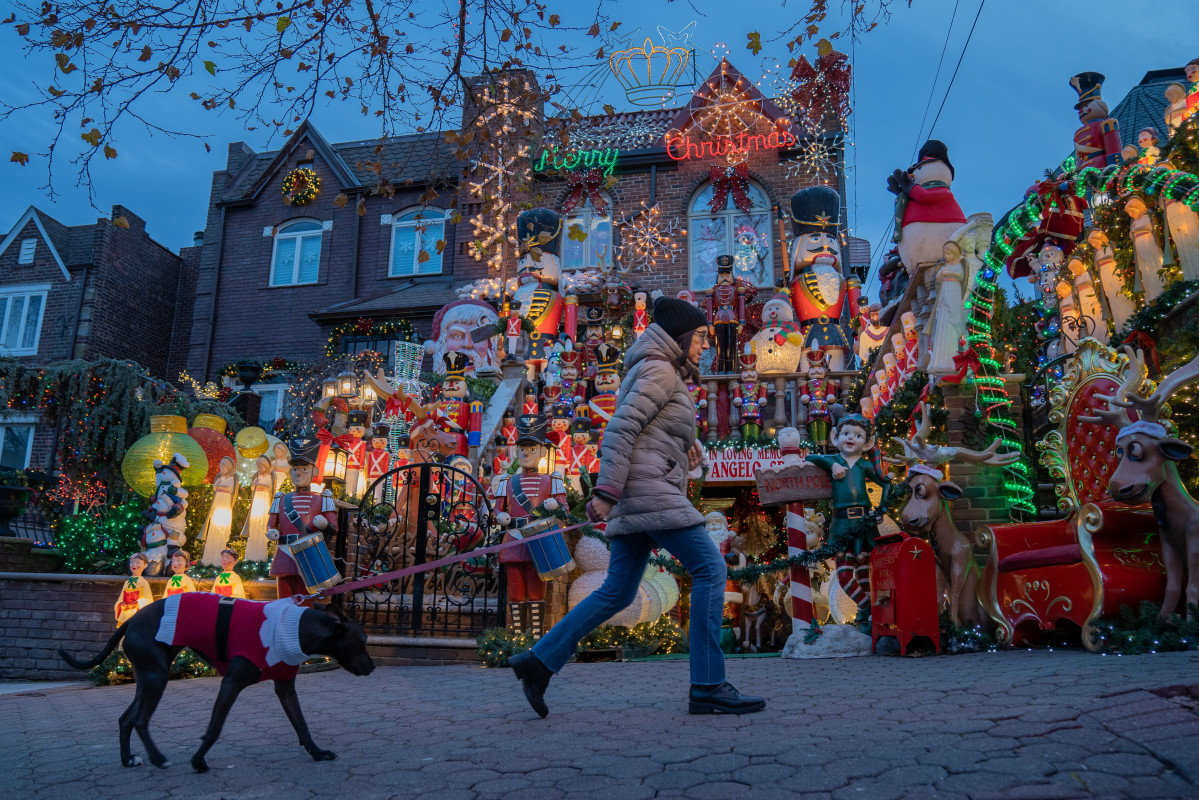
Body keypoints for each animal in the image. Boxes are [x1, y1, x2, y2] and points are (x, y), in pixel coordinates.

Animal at [56, 594, 371, 777]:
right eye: (364, 641)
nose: (372, 666)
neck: (294, 628)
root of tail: (131, 620)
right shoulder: (231, 683)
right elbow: (214, 728)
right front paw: (198, 761)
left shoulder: (285, 688)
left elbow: (302, 725)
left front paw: (318, 753)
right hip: (156, 678)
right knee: (141, 720)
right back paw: (157, 758)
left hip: (148, 678)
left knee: (126, 719)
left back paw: (129, 759)